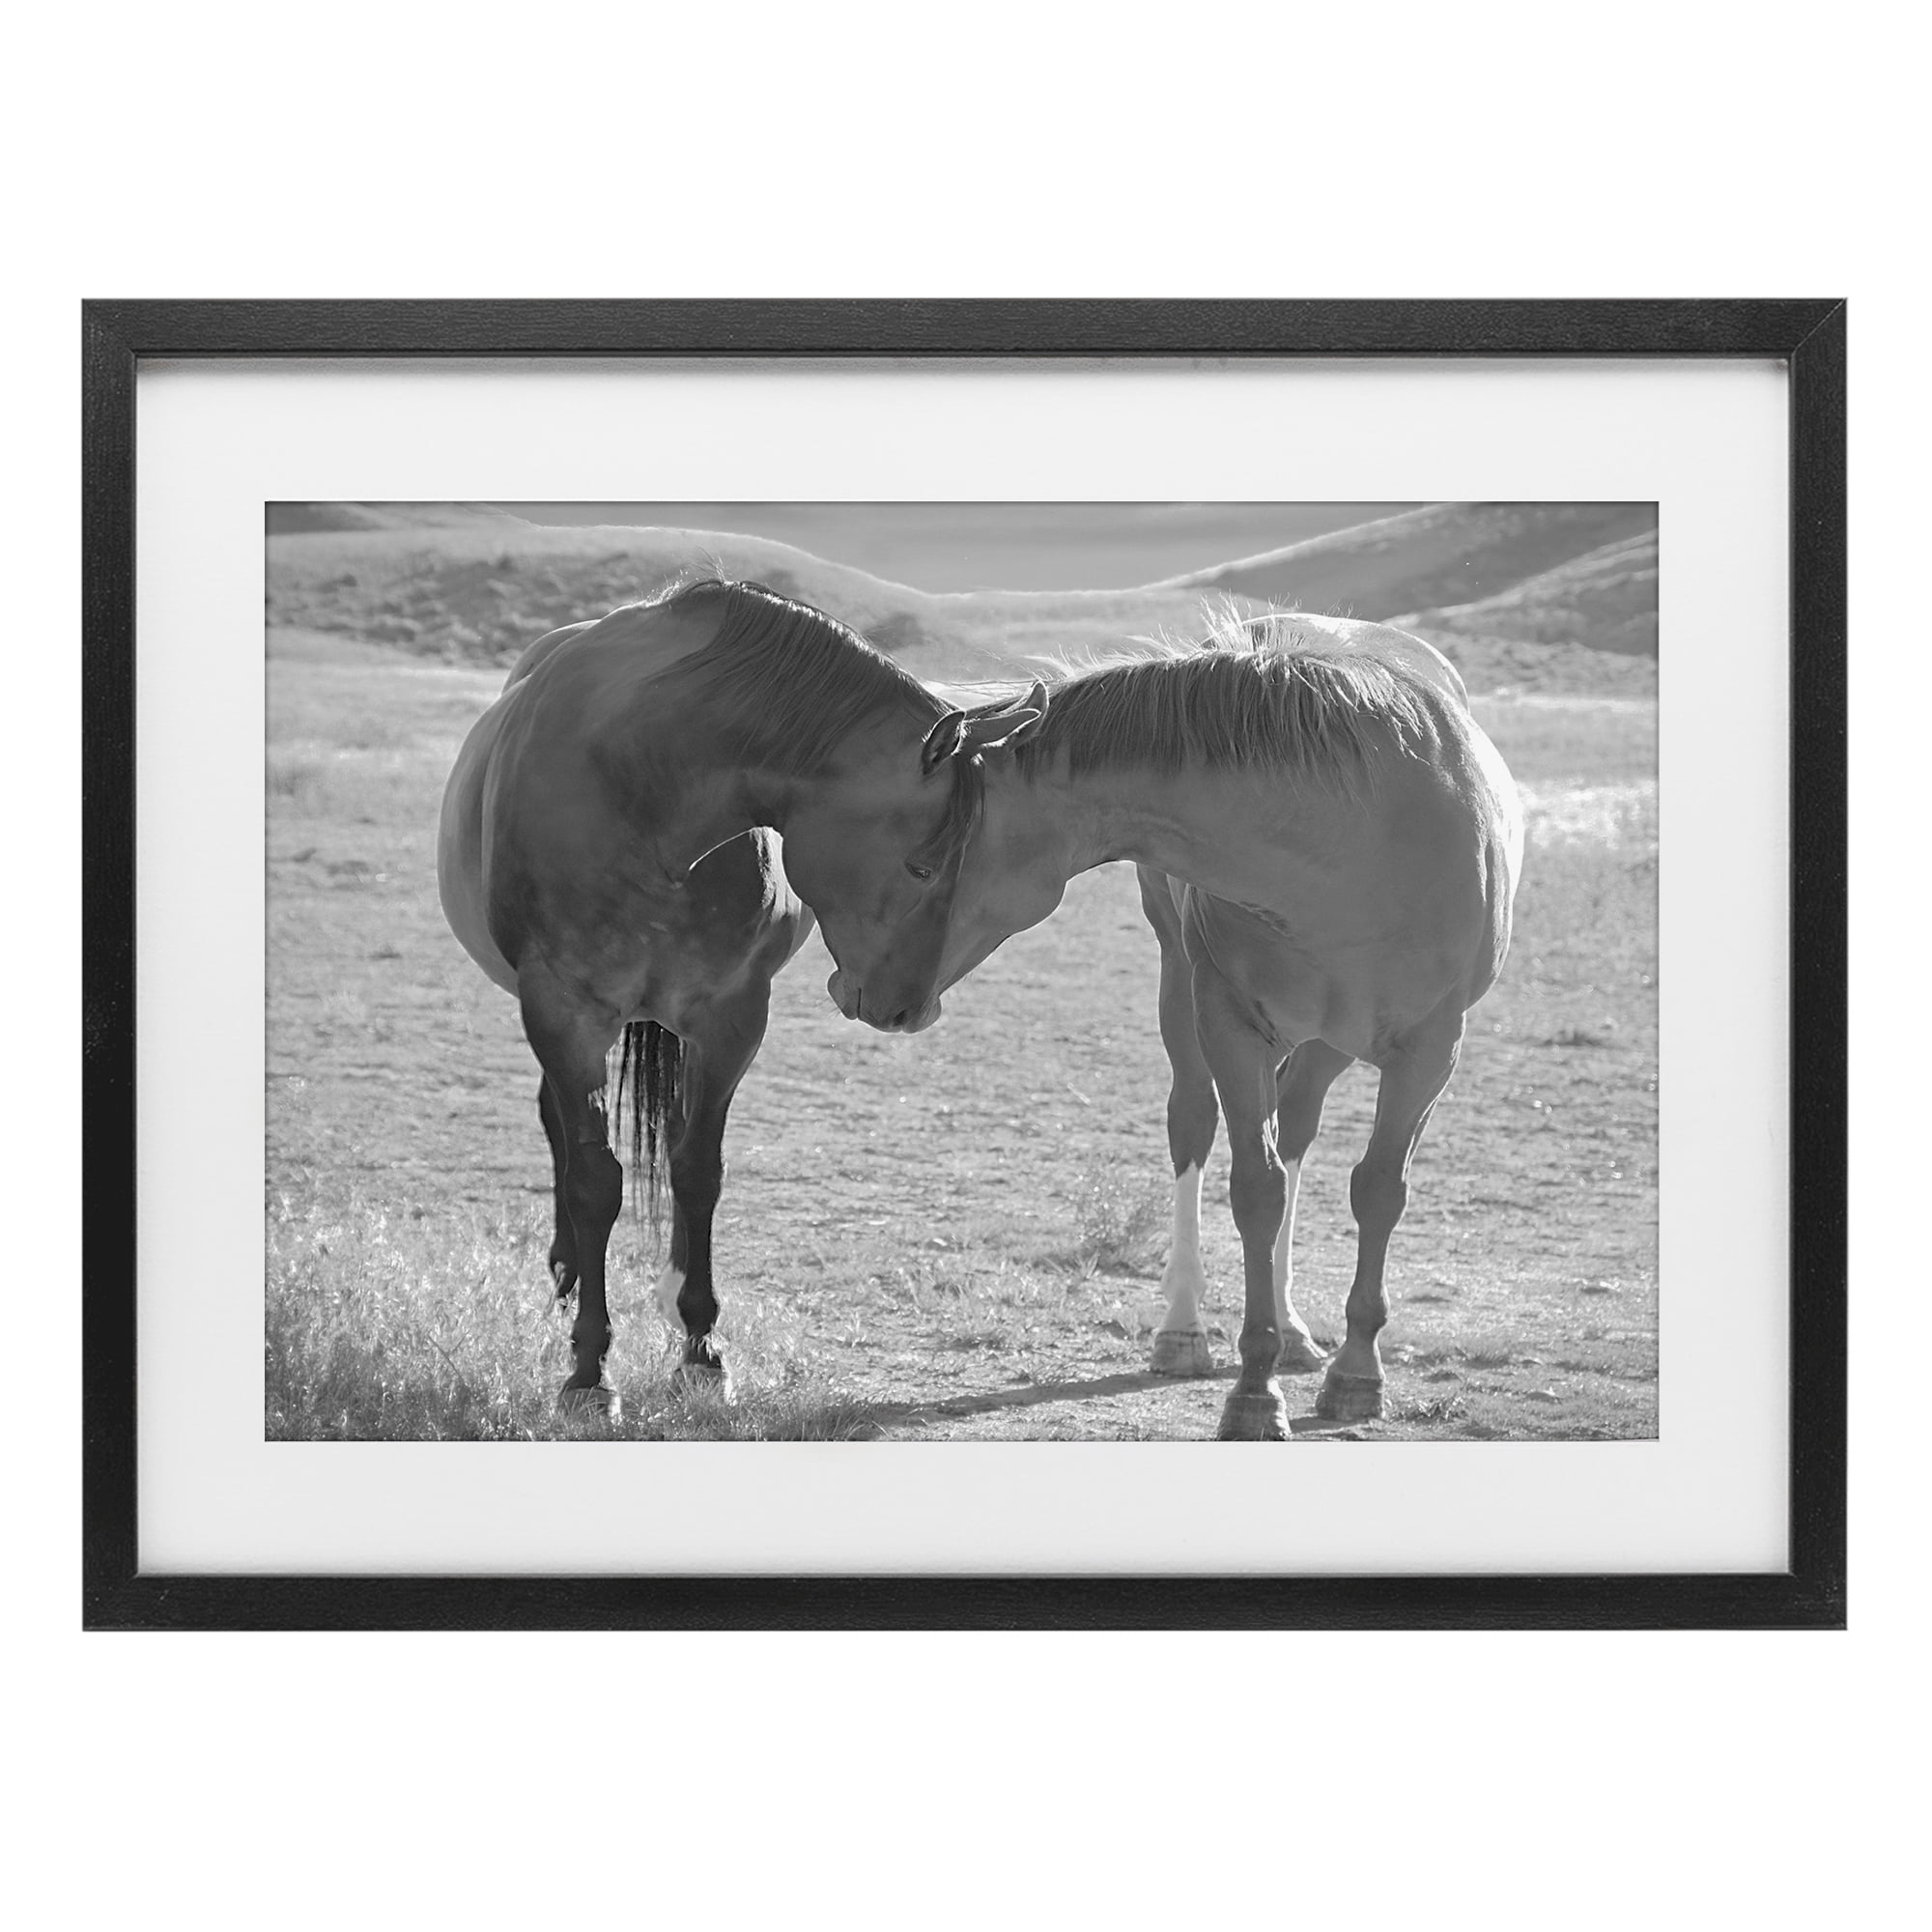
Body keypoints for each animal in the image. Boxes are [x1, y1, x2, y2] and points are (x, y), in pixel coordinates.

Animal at [437, 576, 1044, 1415]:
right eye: (924, 865)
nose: (910, 1009)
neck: (642, 787)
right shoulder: (562, 1013)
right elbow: (595, 1182)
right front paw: (590, 1370)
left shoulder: (730, 1019)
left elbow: (698, 1170)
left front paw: (700, 1350)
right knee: (560, 1129)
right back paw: (567, 1271)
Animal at [838, 608, 1524, 1441]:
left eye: (921, 862)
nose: (857, 992)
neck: (1354, 836)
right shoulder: (1228, 1024)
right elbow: (1255, 1190)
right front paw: (1255, 1391)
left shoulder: (1431, 1050)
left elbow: (1377, 1192)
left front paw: (1357, 1372)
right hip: (1184, 990)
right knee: (1194, 1125)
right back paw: (1185, 1330)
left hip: (1330, 1041)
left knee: (1298, 1130)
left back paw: (1297, 1329)